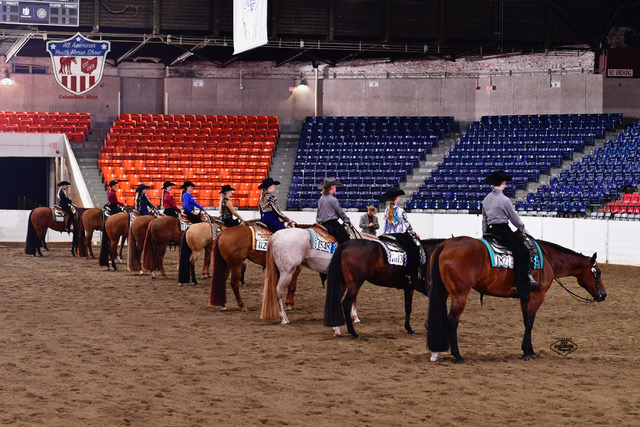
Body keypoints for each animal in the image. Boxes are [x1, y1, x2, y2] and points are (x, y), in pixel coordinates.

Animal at [428, 237, 608, 364]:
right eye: (598, 272)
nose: (603, 295)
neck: (548, 259)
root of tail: (445, 245)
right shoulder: (537, 296)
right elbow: (530, 322)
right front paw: (529, 352)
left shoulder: (525, 297)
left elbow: (525, 321)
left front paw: (526, 350)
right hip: (460, 295)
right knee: (452, 321)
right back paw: (458, 356)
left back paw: (435, 353)